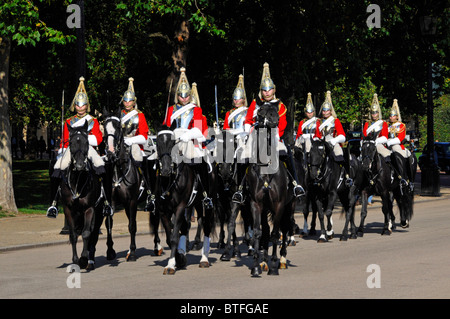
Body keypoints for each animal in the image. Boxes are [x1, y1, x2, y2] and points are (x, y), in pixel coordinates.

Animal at [58, 122, 106, 270]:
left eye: (87, 142)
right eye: (71, 142)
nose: (79, 165)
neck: (77, 182)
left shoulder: (89, 209)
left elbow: (86, 233)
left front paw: (84, 259)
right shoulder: (68, 209)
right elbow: (73, 235)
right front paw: (75, 261)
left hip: (99, 213)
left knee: (93, 233)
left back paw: (90, 260)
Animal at [102, 109, 142, 262]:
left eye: (119, 128)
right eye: (104, 129)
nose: (110, 152)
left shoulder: (132, 201)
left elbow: (131, 226)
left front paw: (133, 252)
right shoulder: (111, 202)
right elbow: (109, 224)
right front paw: (110, 251)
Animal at [153, 124, 216, 276]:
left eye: (173, 143)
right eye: (158, 143)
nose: (165, 170)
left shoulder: (180, 207)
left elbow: (174, 237)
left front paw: (170, 265)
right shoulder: (164, 211)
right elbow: (170, 238)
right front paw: (180, 259)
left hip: (208, 204)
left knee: (206, 226)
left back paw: (204, 259)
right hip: (196, 204)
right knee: (191, 225)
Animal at [244, 103, 294, 278]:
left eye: (276, 113)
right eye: (260, 113)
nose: (273, 122)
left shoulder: (279, 205)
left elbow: (275, 234)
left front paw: (273, 266)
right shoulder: (255, 204)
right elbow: (258, 232)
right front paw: (256, 266)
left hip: (289, 207)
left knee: (285, 228)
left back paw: (282, 260)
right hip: (266, 208)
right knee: (266, 231)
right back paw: (264, 262)